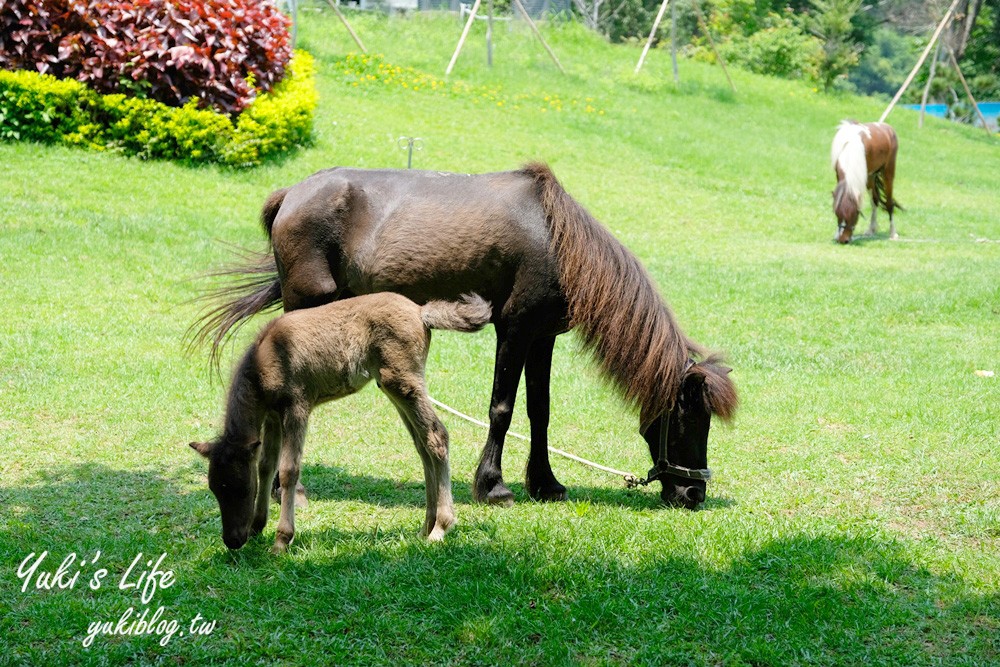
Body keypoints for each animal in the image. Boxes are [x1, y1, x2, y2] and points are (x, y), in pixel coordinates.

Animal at [195, 163, 740, 512]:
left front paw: (545, 483)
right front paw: (492, 486)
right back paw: (289, 491)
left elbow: (539, 412)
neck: (557, 242)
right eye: (689, 419)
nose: (694, 495)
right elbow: (503, 408)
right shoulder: (514, 330)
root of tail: (292, 194)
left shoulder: (542, 338)